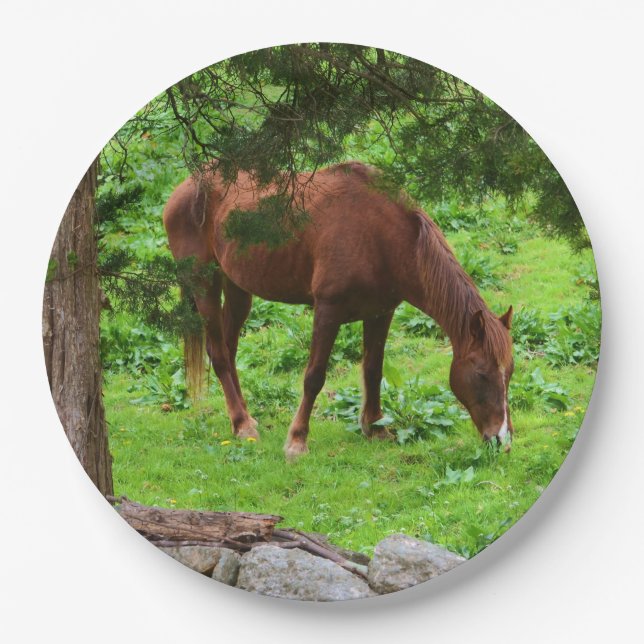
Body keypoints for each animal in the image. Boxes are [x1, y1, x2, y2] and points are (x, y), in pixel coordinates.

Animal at [163, 162, 514, 459]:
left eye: (509, 372)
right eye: (481, 374)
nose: (502, 440)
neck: (381, 236)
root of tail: (186, 187)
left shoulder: (380, 313)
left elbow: (373, 370)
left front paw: (375, 428)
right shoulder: (328, 311)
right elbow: (314, 377)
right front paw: (297, 441)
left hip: (237, 288)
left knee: (228, 348)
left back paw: (243, 418)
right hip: (203, 283)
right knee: (220, 354)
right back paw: (242, 424)